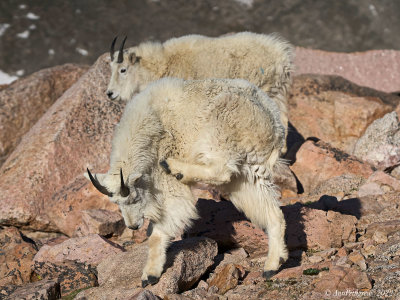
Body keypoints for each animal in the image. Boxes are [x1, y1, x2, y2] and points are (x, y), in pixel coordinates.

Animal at [86, 78, 288, 288]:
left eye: (134, 197)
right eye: (116, 204)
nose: (133, 226)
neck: (149, 122)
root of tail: (275, 124)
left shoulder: (165, 174)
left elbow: (163, 224)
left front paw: (150, 274)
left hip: (222, 128)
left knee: (222, 170)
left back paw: (176, 168)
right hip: (250, 170)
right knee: (270, 210)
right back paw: (273, 263)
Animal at [106, 31, 294, 151]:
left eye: (123, 69)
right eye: (111, 68)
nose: (110, 94)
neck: (163, 64)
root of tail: (283, 57)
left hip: (264, 89)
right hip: (277, 91)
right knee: (283, 118)